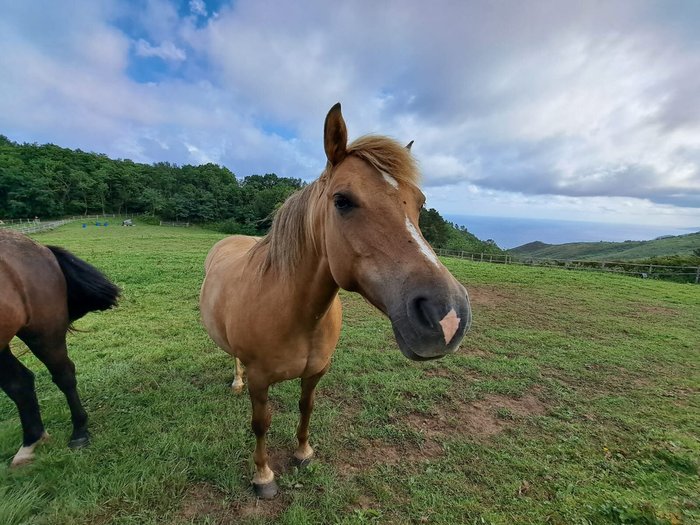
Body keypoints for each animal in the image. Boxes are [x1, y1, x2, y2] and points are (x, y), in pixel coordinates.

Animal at [0, 231, 119, 464]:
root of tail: (41, 247)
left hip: (43, 330)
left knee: (63, 375)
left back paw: (79, 433)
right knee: (19, 383)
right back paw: (30, 443)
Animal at [200, 103, 474, 500]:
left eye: (420, 203)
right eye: (342, 200)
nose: (448, 316)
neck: (294, 313)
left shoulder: (316, 371)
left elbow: (306, 407)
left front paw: (303, 453)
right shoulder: (260, 380)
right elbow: (261, 424)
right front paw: (263, 476)